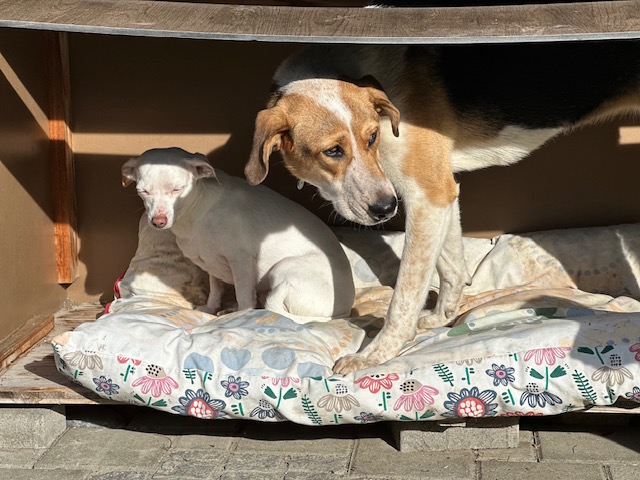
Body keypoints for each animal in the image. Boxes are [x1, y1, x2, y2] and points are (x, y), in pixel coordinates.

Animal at [121, 147, 355, 322]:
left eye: (178, 189)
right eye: (143, 191)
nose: (158, 221)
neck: (195, 214)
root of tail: (344, 311)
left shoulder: (241, 261)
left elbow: (244, 298)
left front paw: (240, 316)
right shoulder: (212, 264)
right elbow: (215, 291)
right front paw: (210, 309)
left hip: (283, 267)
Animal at [245, 41, 640, 373]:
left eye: (372, 138)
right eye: (332, 151)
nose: (386, 210)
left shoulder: (427, 195)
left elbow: (405, 295)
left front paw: (375, 355)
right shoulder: (441, 195)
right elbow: (451, 268)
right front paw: (441, 318)